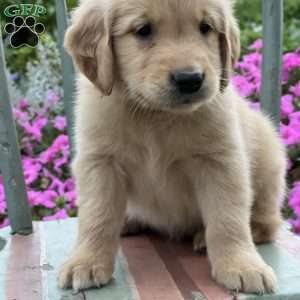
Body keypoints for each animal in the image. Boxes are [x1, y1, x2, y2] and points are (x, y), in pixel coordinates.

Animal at [58, 0, 286, 294]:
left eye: (205, 28)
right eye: (143, 30)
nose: (190, 79)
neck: (155, 115)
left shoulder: (222, 161)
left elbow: (228, 218)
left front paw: (241, 265)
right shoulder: (100, 162)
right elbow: (96, 215)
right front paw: (86, 261)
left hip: (269, 156)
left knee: (268, 221)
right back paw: (130, 220)